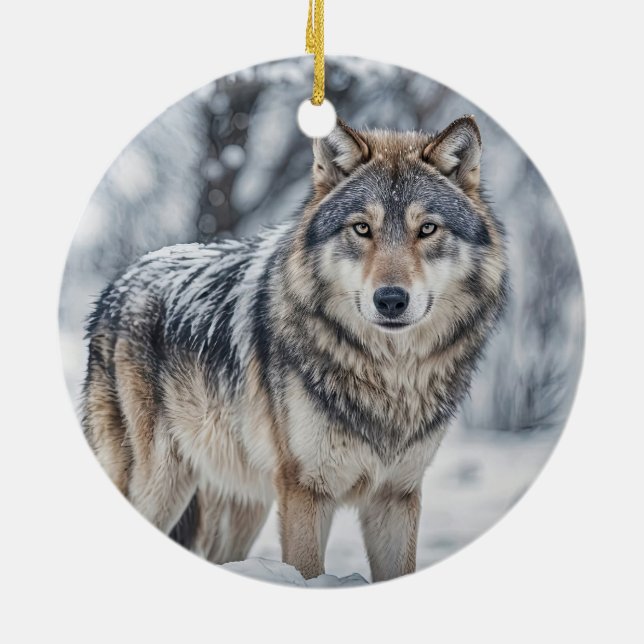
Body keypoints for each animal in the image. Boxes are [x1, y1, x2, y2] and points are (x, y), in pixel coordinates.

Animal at [82, 116, 508, 582]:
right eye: (362, 228)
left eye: (427, 228)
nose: (391, 300)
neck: (389, 375)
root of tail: (117, 285)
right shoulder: (305, 488)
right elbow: (305, 570)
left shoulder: (397, 494)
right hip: (160, 484)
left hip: (242, 501)